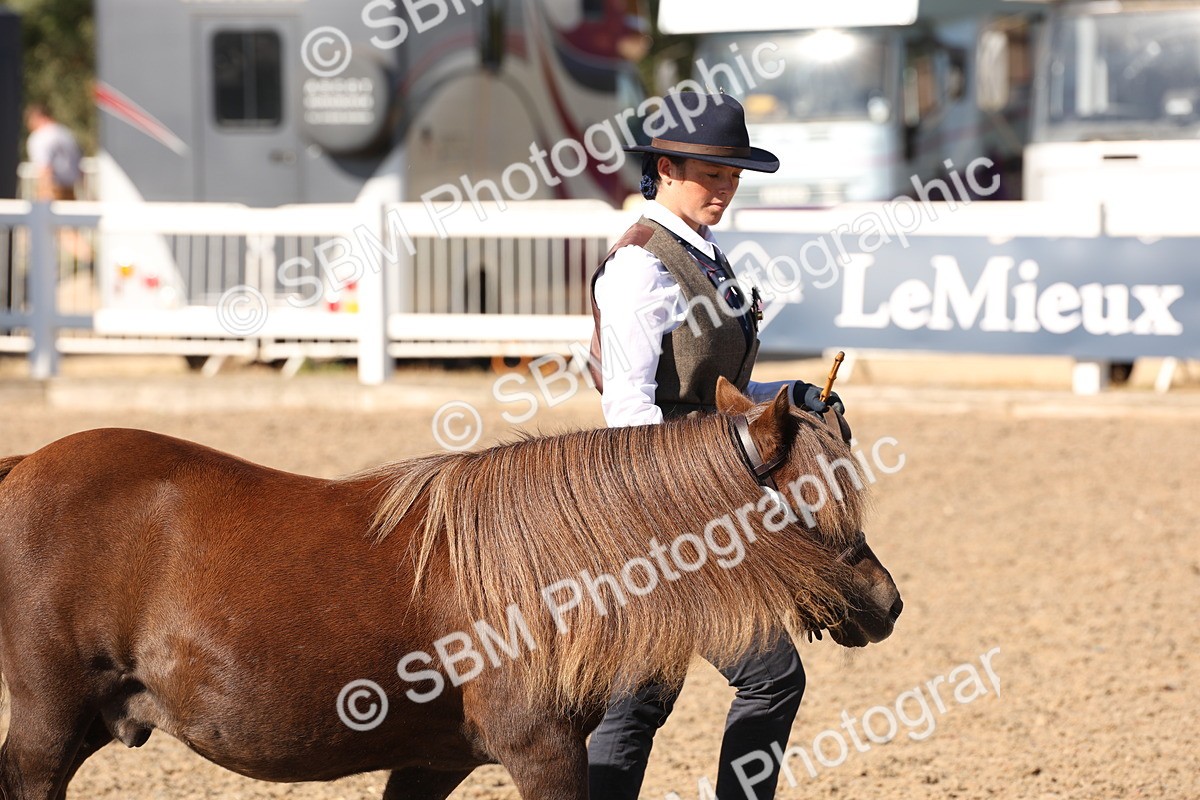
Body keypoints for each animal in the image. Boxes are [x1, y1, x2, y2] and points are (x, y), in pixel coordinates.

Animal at [0, 377, 901, 800]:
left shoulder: (432, 763)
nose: (887, 601)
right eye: (814, 502)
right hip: (48, 727)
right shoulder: (542, 754)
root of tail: (26, 464)